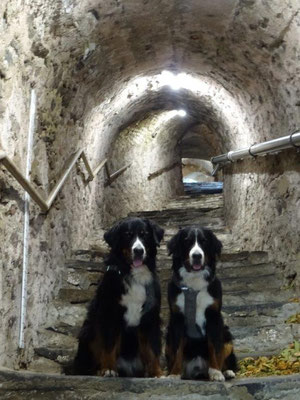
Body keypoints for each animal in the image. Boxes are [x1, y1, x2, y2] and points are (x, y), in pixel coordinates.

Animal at [74, 217, 164, 376]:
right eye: (128, 235)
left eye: (145, 234)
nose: (139, 251)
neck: (133, 275)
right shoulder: (110, 314)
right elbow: (109, 345)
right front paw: (109, 369)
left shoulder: (151, 317)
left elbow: (153, 348)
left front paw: (157, 373)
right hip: (88, 331)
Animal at [165, 227, 236, 380]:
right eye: (187, 241)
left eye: (204, 241)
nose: (197, 256)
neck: (194, 284)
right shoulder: (177, 319)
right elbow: (177, 350)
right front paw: (174, 373)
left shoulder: (213, 317)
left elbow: (214, 348)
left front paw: (215, 372)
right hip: (167, 336)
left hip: (227, 336)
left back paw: (226, 372)